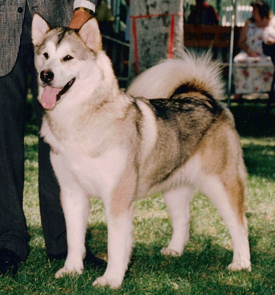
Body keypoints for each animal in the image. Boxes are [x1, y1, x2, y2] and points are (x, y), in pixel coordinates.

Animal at [32, 14, 252, 290]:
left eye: (68, 57)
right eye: (45, 55)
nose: (45, 75)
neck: (78, 122)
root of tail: (203, 97)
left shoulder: (117, 199)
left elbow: (116, 246)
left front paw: (111, 280)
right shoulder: (72, 194)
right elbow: (74, 240)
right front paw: (72, 269)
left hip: (221, 185)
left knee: (240, 224)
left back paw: (242, 263)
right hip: (174, 188)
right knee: (184, 219)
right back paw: (174, 251)